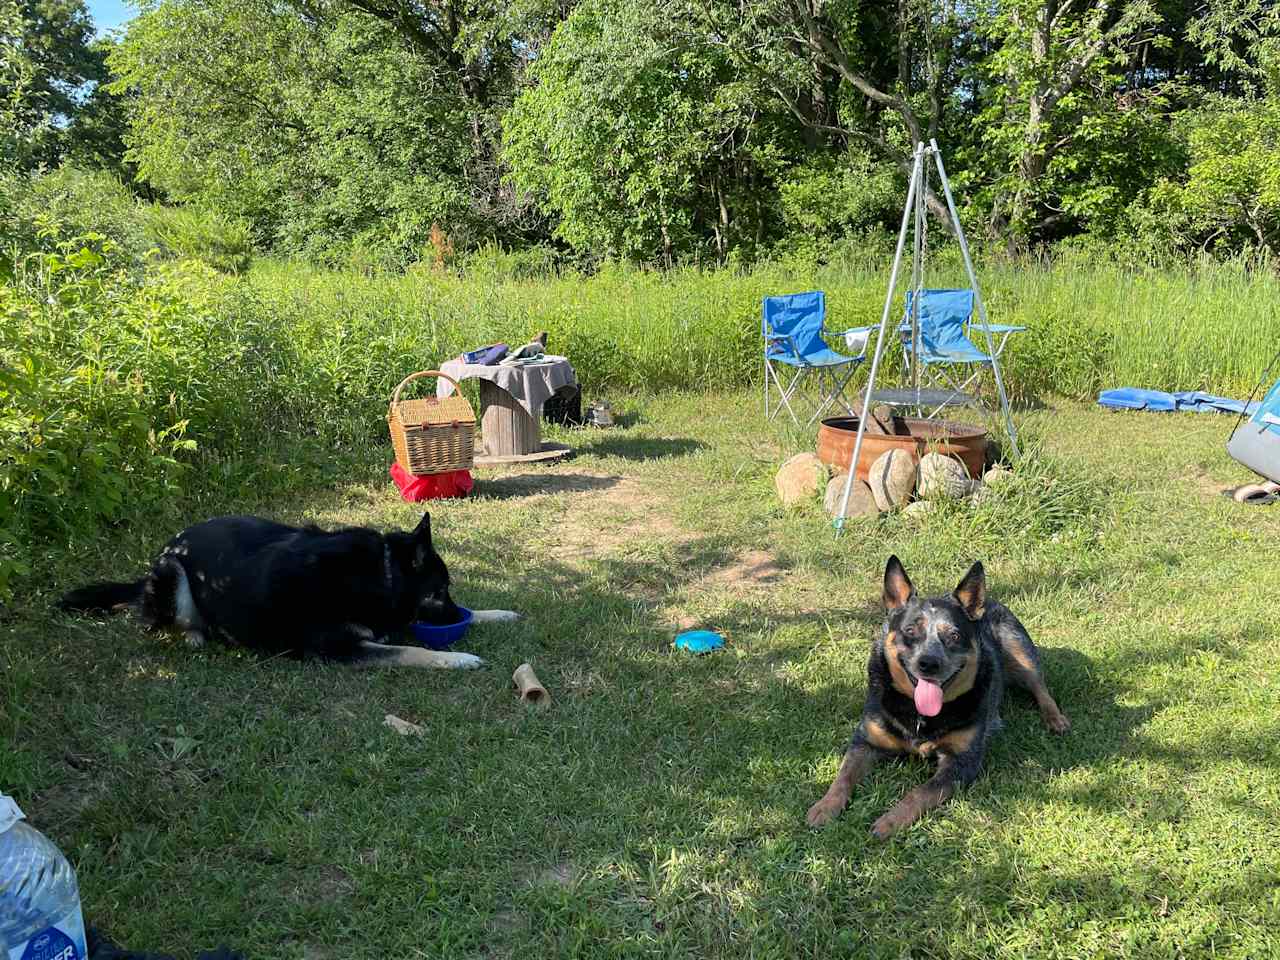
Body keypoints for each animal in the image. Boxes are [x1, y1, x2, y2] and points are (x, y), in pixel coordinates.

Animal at [58, 512, 519, 670]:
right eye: (440, 592)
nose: (456, 618)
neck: (381, 574)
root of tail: (169, 545)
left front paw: (498, 614)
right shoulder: (338, 649)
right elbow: (412, 650)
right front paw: (458, 658)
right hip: (173, 576)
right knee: (157, 623)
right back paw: (194, 635)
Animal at [808, 560, 1070, 839]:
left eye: (954, 635)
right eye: (910, 631)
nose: (929, 663)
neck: (920, 716)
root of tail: (987, 600)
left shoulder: (962, 762)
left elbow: (920, 792)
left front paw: (889, 821)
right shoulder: (865, 740)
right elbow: (844, 774)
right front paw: (825, 806)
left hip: (1018, 647)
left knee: (1040, 685)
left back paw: (1055, 719)